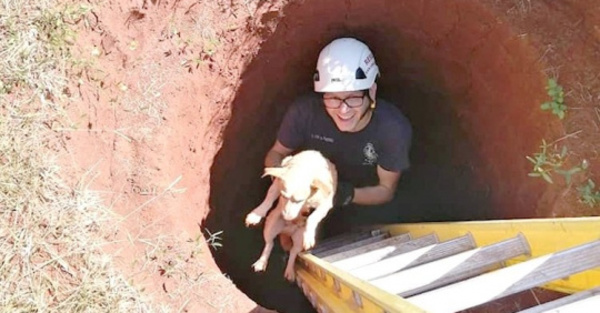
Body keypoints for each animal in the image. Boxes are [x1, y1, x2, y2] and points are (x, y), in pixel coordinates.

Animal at [245, 149, 338, 280]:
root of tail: (287, 231)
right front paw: (256, 214)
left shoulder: (325, 204)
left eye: (300, 200)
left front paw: (309, 235)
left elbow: (313, 217)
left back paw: (289, 271)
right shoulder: (276, 184)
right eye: (283, 196)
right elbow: (269, 197)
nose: (286, 217)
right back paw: (261, 262)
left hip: (298, 239)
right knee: (270, 243)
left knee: (294, 252)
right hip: (271, 225)